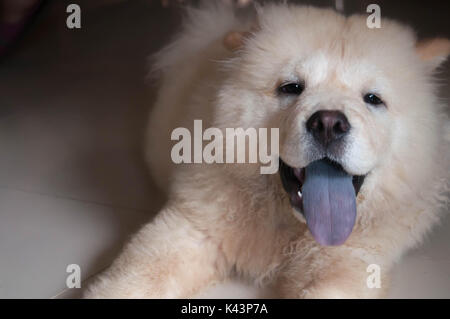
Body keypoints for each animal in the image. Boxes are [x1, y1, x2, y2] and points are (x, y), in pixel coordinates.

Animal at [85, 2, 450, 298]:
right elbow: (134, 279)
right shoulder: (190, 228)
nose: (329, 123)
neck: (288, 227)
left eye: (373, 99)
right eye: (291, 88)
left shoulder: (347, 265)